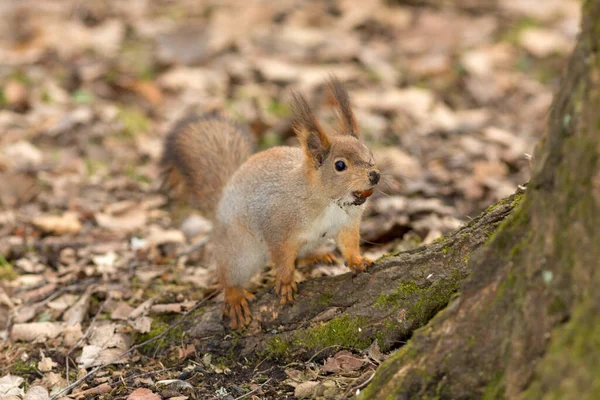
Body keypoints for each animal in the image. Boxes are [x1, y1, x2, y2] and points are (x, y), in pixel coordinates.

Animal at [161, 76, 380, 326]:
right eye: (340, 165)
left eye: (370, 154)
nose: (375, 175)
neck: (329, 202)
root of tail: (221, 199)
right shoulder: (278, 225)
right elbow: (281, 257)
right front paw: (285, 282)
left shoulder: (347, 224)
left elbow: (349, 244)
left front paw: (358, 260)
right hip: (239, 251)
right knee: (229, 274)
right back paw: (235, 296)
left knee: (300, 257)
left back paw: (317, 256)